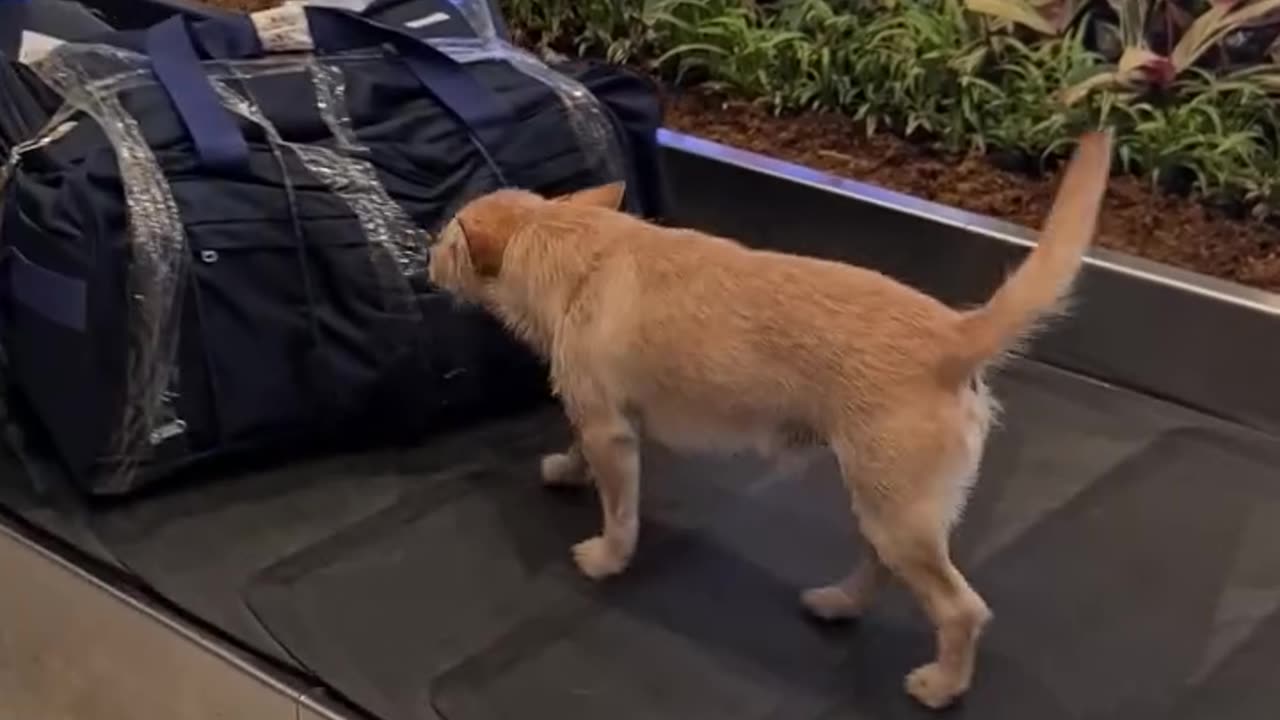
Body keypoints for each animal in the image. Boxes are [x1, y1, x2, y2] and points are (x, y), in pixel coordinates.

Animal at [427, 131, 1111, 702]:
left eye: (446, 237)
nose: (427, 255)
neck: (575, 244)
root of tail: (957, 334)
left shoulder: (610, 430)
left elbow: (619, 510)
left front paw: (606, 557)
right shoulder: (601, 416)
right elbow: (577, 447)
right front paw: (570, 472)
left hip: (897, 516)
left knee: (960, 609)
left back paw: (942, 686)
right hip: (886, 507)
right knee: (883, 569)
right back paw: (838, 603)